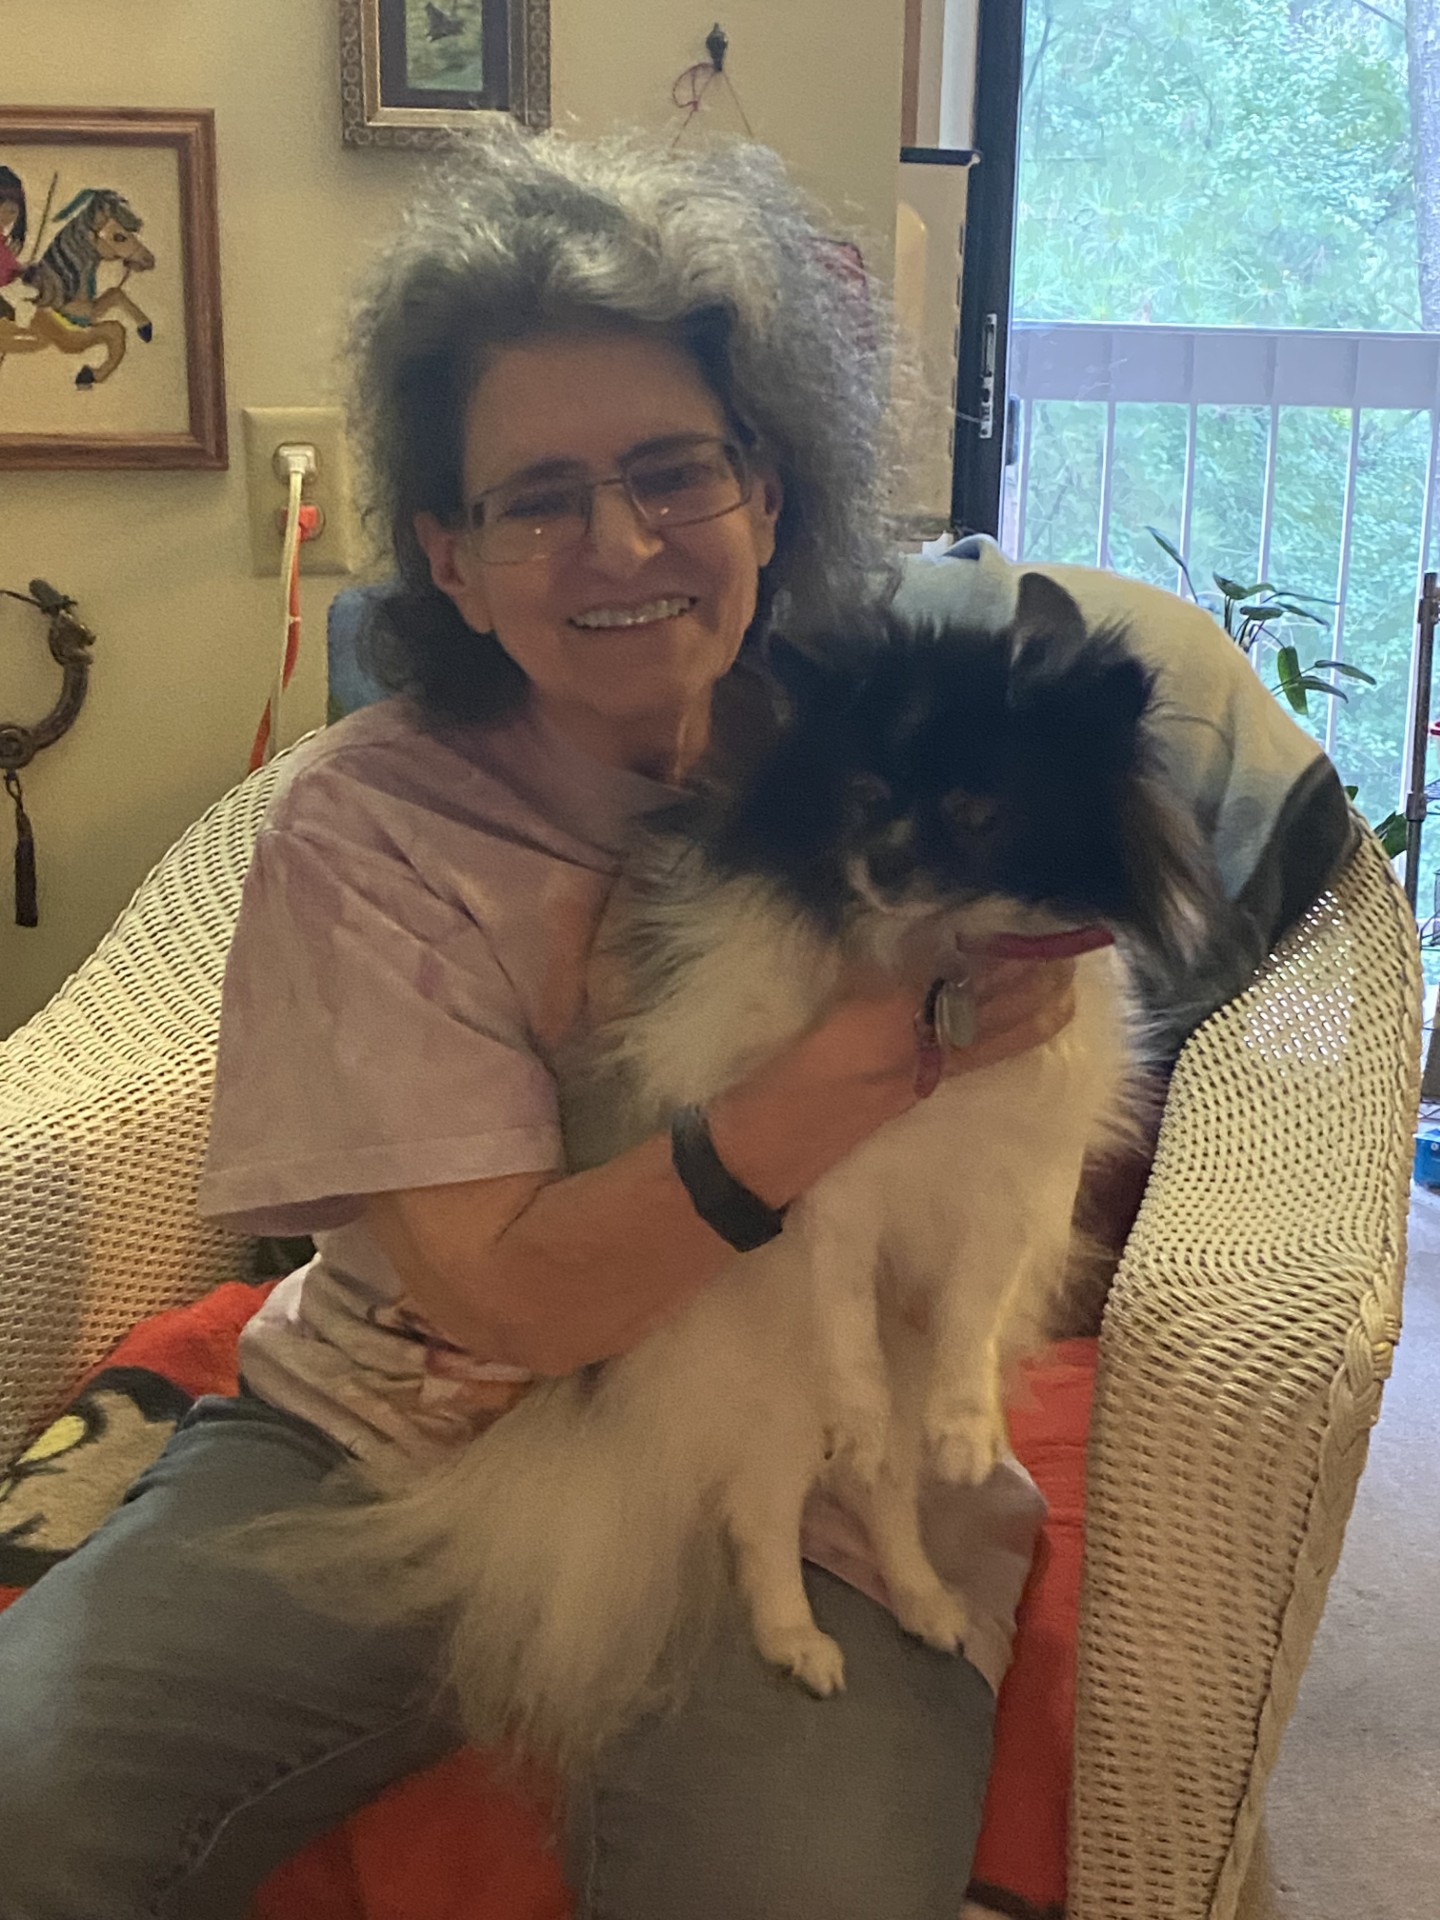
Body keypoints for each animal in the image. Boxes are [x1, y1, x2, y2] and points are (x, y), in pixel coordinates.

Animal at [240, 572, 1217, 1778]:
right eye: (862, 793)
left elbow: (971, 1313)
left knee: (880, 1491)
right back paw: (796, 1636)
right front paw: (868, 1418)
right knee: (766, 1511)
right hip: (769, 1389)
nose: (885, 865)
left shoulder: (1012, 1185)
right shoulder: (829, 1192)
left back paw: (921, 1595)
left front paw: (965, 1425)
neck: (942, 963)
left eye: (980, 811)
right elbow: (842, 1313)